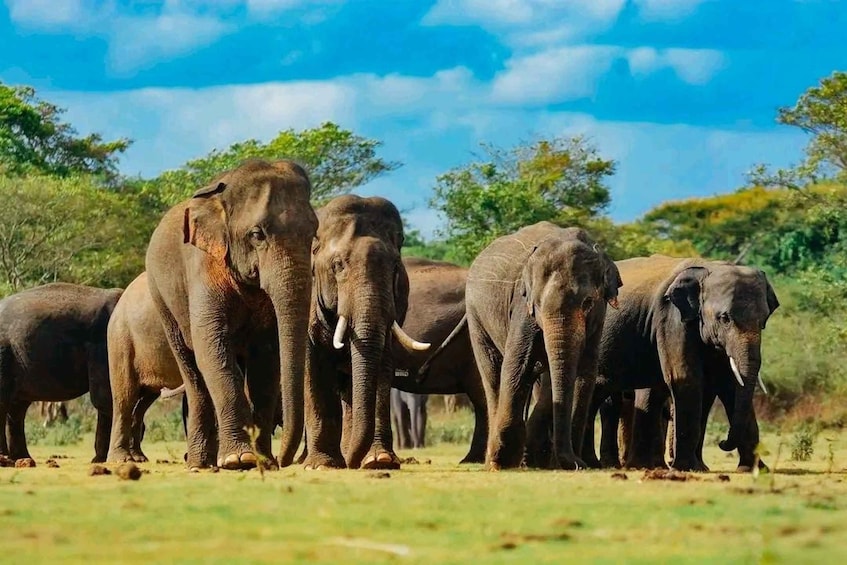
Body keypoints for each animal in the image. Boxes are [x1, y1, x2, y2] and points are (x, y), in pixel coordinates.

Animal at [0, 283, 123, 462]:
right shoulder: (103, 344)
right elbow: (107, 397)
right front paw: (103, 459)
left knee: (18, 407)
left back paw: (22, 458)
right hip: (4, 353)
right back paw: (7, 459)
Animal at [145, 159, 317, 471]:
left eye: (314, 231)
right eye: (257, 234)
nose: (283, 460)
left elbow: (266, 357)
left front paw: (262, 461)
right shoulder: (202, 267)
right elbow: (211, 344)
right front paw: (240, 460)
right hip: (161, 299)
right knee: (191, 369)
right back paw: (200, 465)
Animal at [303, 194, 430, 470]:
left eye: (396, 268)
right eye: (338, 265)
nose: (351, 463)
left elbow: (382, 363)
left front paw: (379, 461)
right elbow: (311, 363)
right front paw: (322, 465)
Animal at [458, 221, 622, 470]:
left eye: (588, 302)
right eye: (538, 304)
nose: (575, 464)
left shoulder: (599, 317)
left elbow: (585, 372)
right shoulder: (522, 307)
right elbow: (518, 363)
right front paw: (503, 459)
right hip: (475, 315)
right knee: (493, 374)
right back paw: (496, 460)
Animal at [579, 255, 779, 472]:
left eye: (763, 321)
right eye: (724, 318)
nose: (722, 443)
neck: (709, 266)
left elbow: (731, 386)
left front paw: (754, 469)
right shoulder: (670, 317)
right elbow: (685, 377)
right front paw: (687, 468)